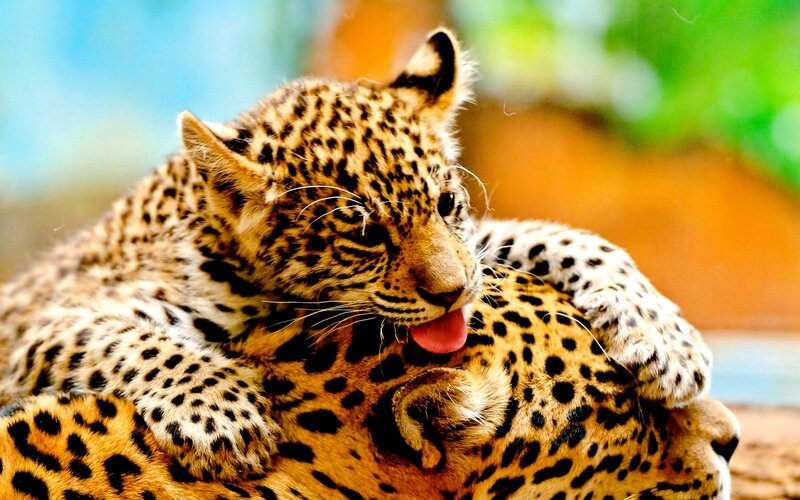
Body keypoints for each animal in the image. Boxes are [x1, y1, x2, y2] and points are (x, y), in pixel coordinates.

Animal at [0, 28, 712, 481]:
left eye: (447, 204)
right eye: (366, 235)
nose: (453, 295)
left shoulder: (475, 245)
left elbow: (554, 236)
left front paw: (663, 339)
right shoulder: (42, 321)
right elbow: (132, 340)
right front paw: (225, 416)